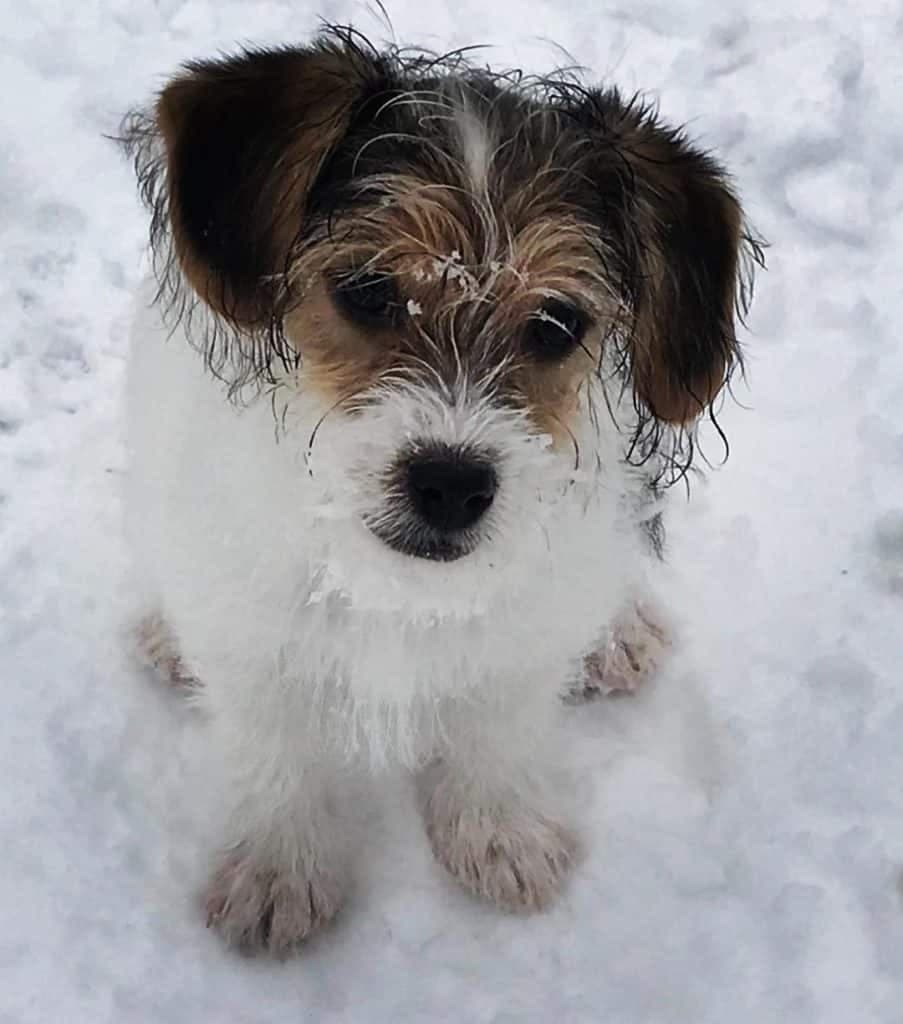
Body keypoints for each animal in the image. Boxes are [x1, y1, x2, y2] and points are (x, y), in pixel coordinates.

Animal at [117, 29, 753, 958]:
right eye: (367, 291)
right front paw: (279, 871)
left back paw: (619, 632)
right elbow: (278, 748)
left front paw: (498, 835)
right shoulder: (251, 636)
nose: (451, 485)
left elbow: (498, 727)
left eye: (555, 324)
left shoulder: (524, 635)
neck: (395, 585)